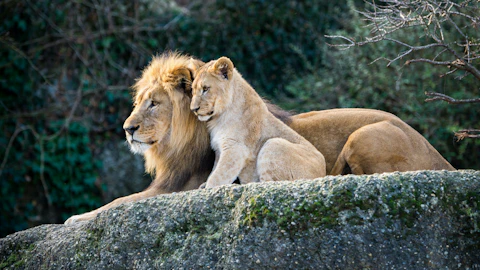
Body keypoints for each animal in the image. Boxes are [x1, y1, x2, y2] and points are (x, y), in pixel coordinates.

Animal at [191, 56, 326, 188]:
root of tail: (323, 173)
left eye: (205, 89)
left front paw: (207, 188)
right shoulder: (219, 149)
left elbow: (217, 176)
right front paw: (203, 186)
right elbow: (214, 171)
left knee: (270, 183)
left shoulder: (235, 148)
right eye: (193, 90)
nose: (193, 109)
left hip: (274, 143)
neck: (219, 118)